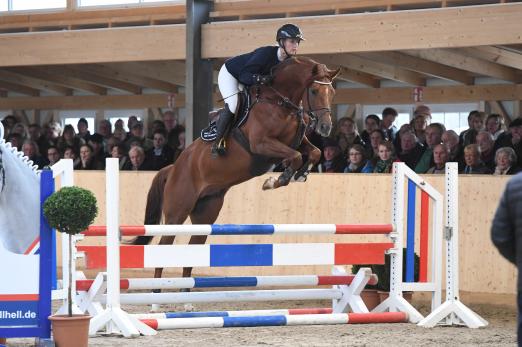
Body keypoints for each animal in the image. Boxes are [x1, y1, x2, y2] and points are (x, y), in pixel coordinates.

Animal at [136, 56, 340, 280]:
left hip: (206, 212)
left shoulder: (297, 141)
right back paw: (157, 288)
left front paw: (299, 175)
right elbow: (294, 156)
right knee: (163, 248)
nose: (325, 128)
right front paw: (276, 180)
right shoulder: (261, 144)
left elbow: (314, 152)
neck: (280, 102)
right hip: (177, 212)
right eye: (314, 91)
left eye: (332, 92)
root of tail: (172, 169)